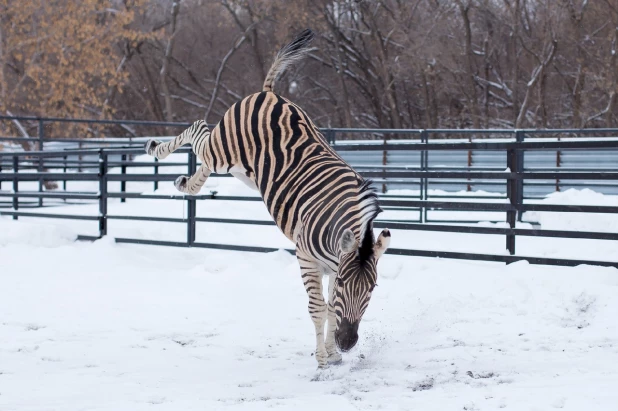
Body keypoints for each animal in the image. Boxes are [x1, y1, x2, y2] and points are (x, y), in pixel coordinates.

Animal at [144, 30, 390, 368]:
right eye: (343, 282)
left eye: (373, 288)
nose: (348, 342)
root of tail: (270, 93)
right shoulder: (308, 259)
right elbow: (319, 308)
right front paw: (322, 358)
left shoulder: (331, 264)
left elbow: (330, 308)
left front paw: (331, 353)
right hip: (224, 150)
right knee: (198, 130)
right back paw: (157, 148)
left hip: (240, 170)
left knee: (203, 158)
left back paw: (187, 183)